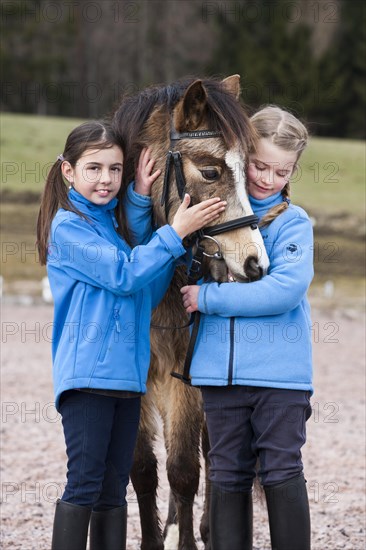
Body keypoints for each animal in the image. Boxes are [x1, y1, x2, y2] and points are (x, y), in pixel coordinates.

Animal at [111, 76, 268, 550]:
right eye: (211, 172)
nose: (255, 263)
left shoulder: (184, 375)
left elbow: (183, 470)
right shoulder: (134, 377)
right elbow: (142, 470)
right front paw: (151, 540)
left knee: (212, 454)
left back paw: (207, 529)